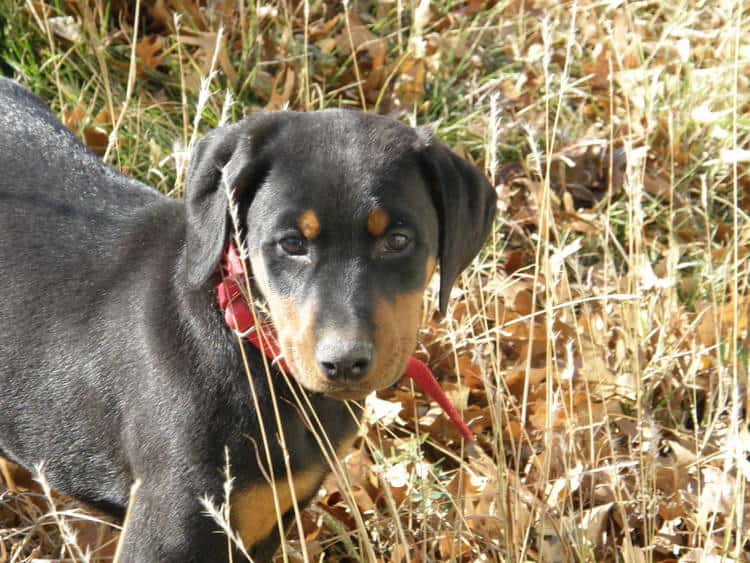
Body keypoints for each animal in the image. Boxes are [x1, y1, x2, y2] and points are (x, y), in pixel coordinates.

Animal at [0, 77, 500, 560]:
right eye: (291, 243)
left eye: (398, 240)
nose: (343, 363)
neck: (249, 340)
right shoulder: (169, 529)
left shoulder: (268, 518)